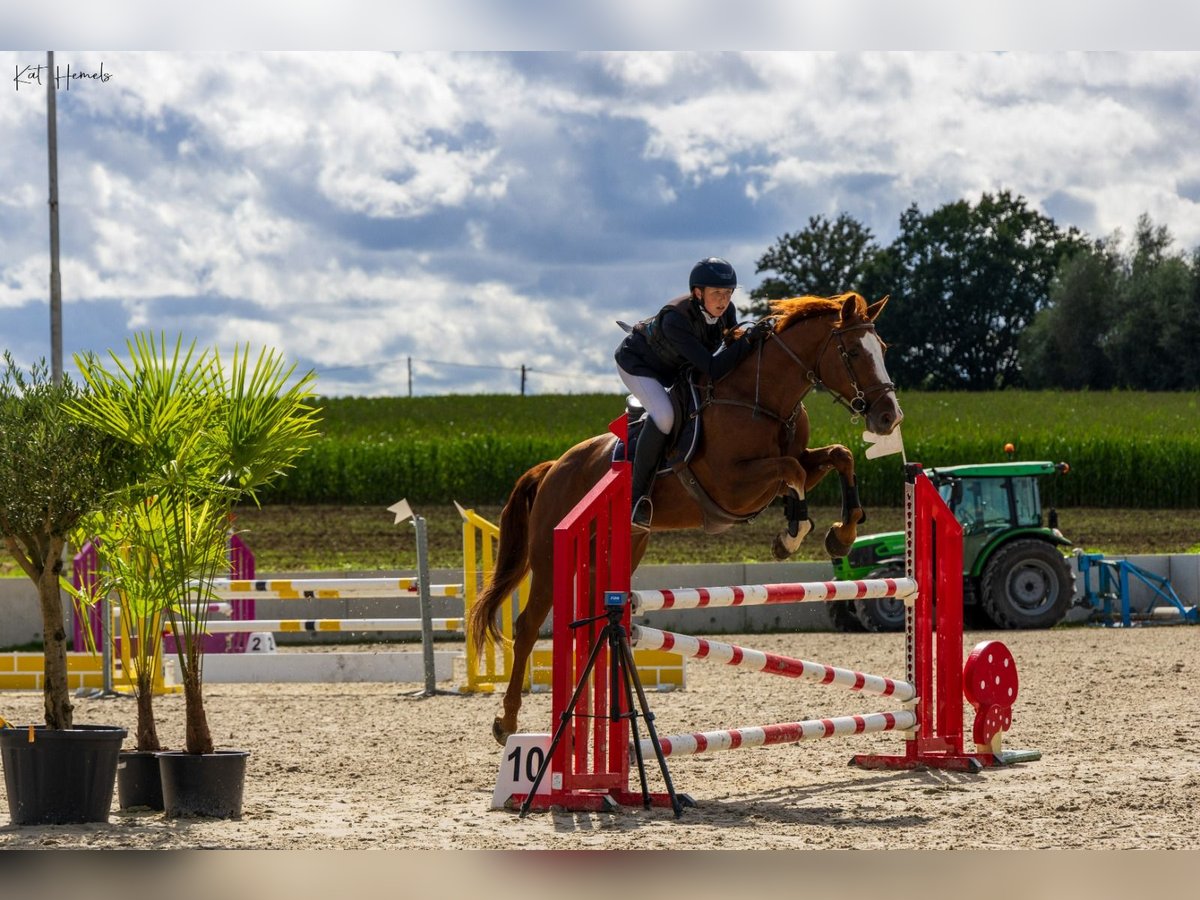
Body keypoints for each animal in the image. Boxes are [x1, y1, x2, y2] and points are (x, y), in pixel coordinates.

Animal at [468, 292, 902, 744]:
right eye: (853, 352)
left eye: (882, 349)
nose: (890, 416)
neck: (762, 399)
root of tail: (554, 466)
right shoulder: (733, 485)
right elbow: (792, 472)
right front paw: (792, 535)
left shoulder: (794, 462)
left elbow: (838, 456)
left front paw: (841, 535)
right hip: (550, 557)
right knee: (527, 627)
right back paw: (508, 723)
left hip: (617, 551)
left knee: (588, 630)